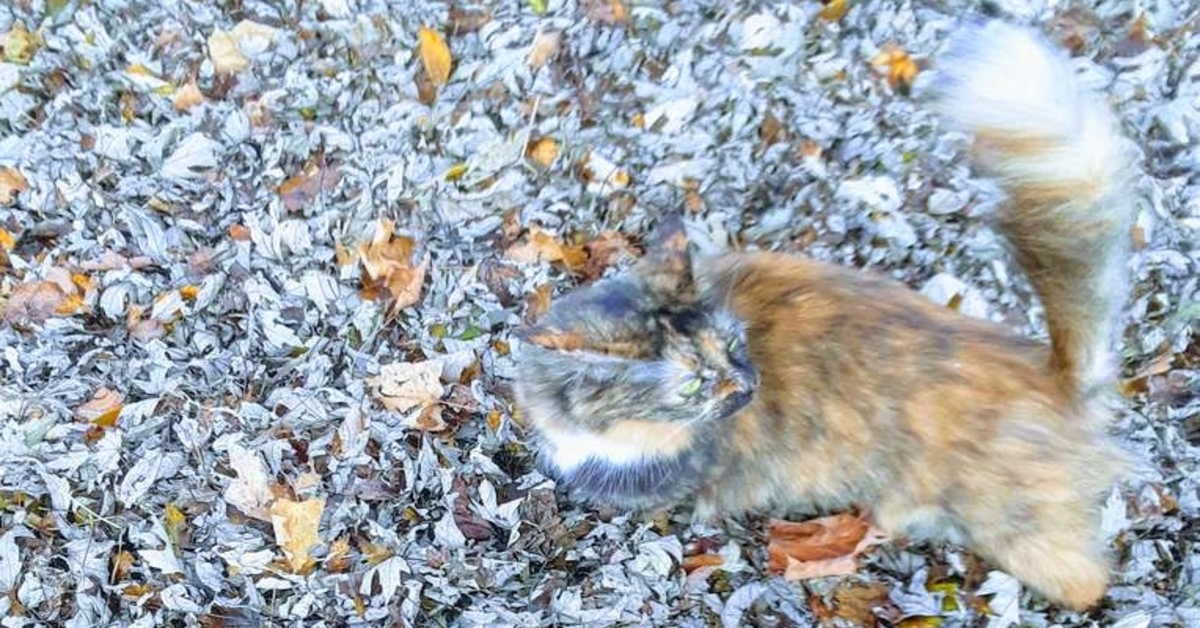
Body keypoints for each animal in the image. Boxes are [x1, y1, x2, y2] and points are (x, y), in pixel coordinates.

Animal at [511, 17, 1137, 612]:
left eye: (732, 347)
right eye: (691, 386)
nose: (749, 384)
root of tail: (1052, 373)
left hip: (1012, 524)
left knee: (1087, 581)